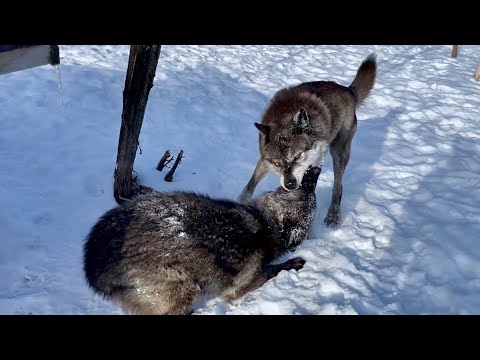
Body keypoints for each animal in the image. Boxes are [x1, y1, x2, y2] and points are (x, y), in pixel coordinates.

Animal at [83, 167, 322, 316]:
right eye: (310, 194)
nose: (317, 170)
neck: (264, 222)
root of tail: (92, 261)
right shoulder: (241, 285)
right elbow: (272, 270)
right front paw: (290, 264)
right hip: (183, 286)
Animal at [238, 53, 376, 228]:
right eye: (277, 163)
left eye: (297, 156)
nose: (290, 185)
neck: (284, 118)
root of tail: (348, 90)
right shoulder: (264, 161)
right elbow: (248, 188)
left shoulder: (315, 163)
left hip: (338, 153)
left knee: (338, 187)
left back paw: (333, 214)